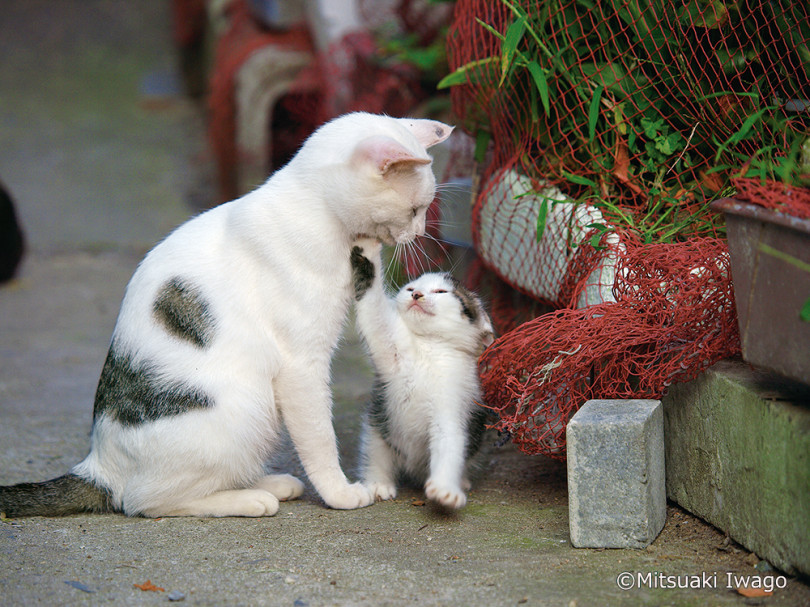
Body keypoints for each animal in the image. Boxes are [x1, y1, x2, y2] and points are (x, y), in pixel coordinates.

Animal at [0, 111, 452, 516]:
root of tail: (99, 463)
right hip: (248, 408)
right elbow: (319, 438)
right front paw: (339, 493)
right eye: (416, 209)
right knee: (144, 502)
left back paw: (268, 483)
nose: (418, 233)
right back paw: (250, 500)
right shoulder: (302, 364)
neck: (316, 213)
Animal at [348, 238, 492, 508]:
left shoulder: (454, 401)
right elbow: (373, 314)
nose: (417, 295)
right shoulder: (391, 350)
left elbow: (450, 441)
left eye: (441, 292)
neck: (430, 348)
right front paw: (368, 248)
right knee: (375, 452)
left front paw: (446, 489)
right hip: (379, 427)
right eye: (410, 288)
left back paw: (461, 480)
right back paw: (378, 482)